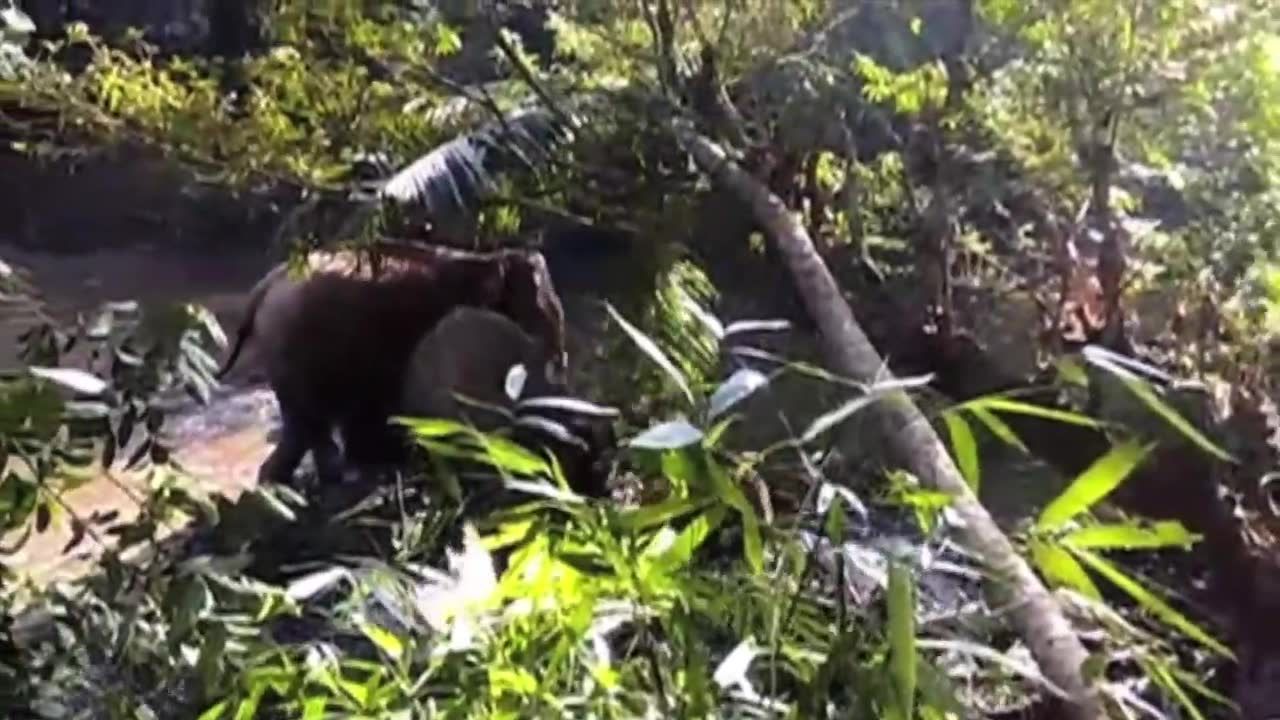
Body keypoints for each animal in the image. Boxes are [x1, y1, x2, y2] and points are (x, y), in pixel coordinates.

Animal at [217, 238, 568, 484]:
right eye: (540, 310)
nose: (560, 363)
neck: (486, 263)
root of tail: (266, 286)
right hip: (299, 350)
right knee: (308, 422)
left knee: (305, 425)